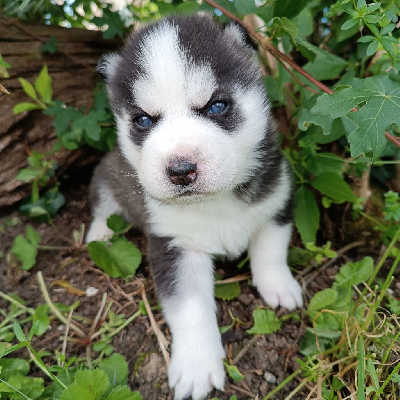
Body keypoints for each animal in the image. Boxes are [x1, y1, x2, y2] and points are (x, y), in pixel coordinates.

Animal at [86, 14, 300, 400]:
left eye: (216, 106)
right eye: (143, 120)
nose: (181, 169)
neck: (215, 202)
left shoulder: (277, 198)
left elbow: (271, 250)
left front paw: (279, 285)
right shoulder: (175, 247)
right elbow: (190, 308)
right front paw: (197, 364)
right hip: (109, 172)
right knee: (102, 206)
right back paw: (100, 234)